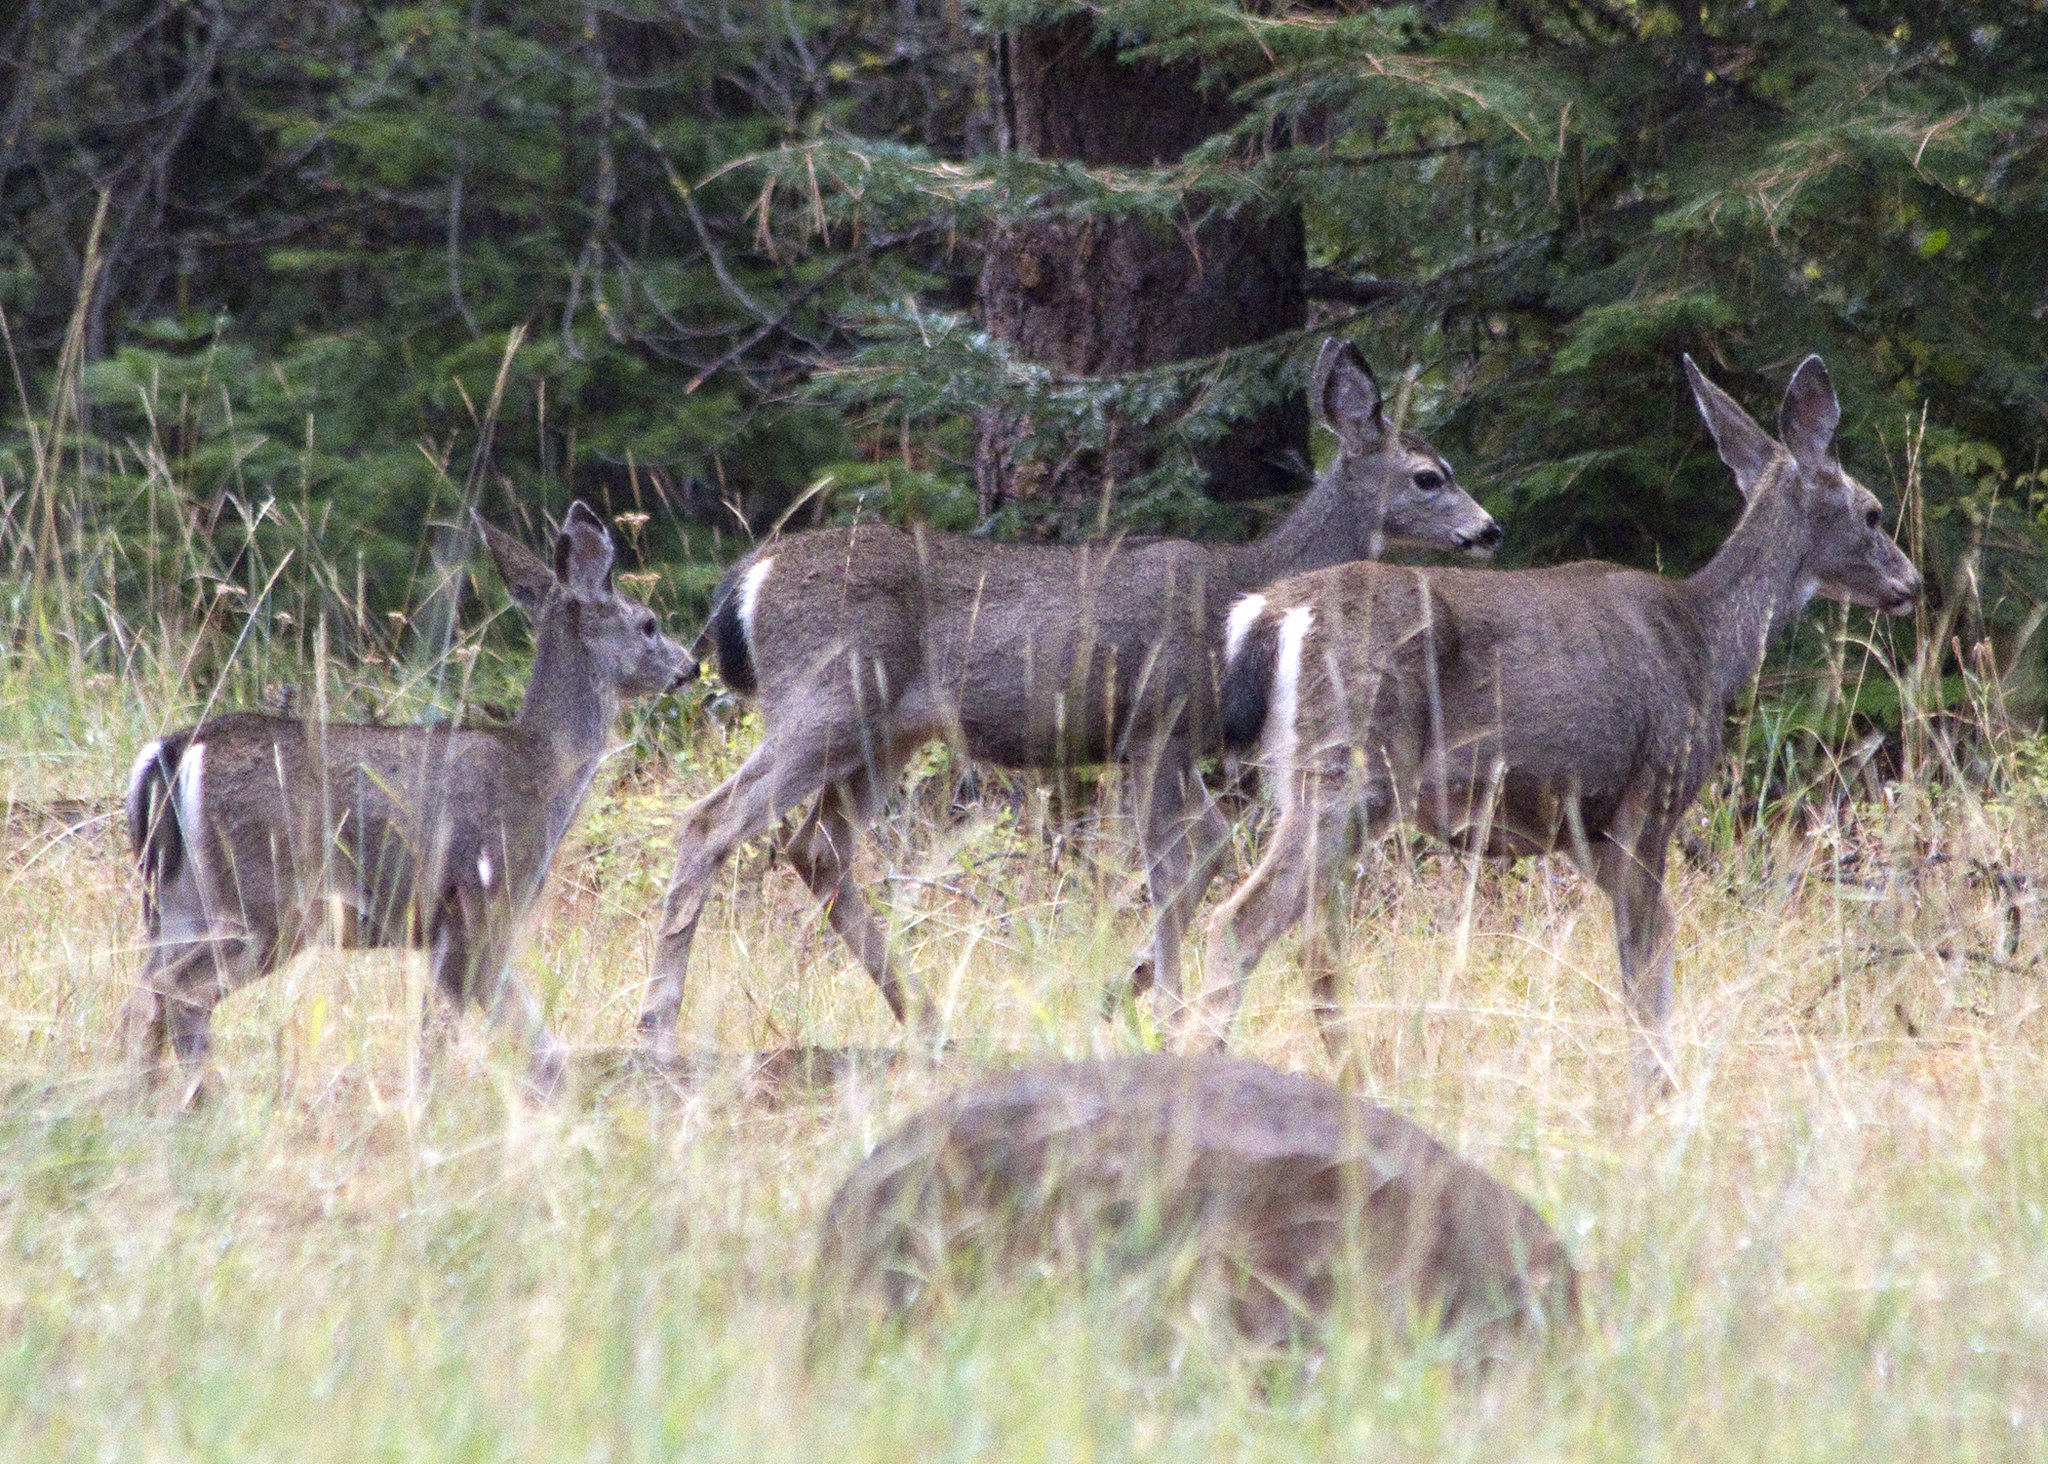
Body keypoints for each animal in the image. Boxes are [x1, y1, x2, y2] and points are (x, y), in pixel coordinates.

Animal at [121, 497, 696, 1105]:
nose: (690, 665)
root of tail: (173, 751)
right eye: (649, 624)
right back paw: (206, 1099)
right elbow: (456, 1032)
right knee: (180, 990)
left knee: (142, 996)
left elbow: (520, 1040)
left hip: (175, 903)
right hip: (265, 900)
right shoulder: (479, 901)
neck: (540, 770)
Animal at [638, 341, 1507, 1056]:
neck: (1241, 589)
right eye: (1430, 476)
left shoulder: (1168, 742)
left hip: (887, 732)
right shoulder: (1156, 723)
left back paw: (928, 1021)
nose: (1490, 529)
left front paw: (1129, 987)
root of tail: (747, 581)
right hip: (825, 699)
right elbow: (1173, 865)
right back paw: (657, 1027)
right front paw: (1166, 1012)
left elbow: (1206, 854)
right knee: (710, 821)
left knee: (814, 848)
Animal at [1196, 354, 1916, 1089]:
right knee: (1242, 922)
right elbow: (1642, 956)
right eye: (1872, 512)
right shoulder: (1652, 791)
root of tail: (1268, 612)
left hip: (1306, 776)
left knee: (1311, 942)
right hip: (1354, 763)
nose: (1909, 584)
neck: (1710, 643)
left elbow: (1657, 945)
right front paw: (1650, 1091)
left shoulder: (1584, 827)